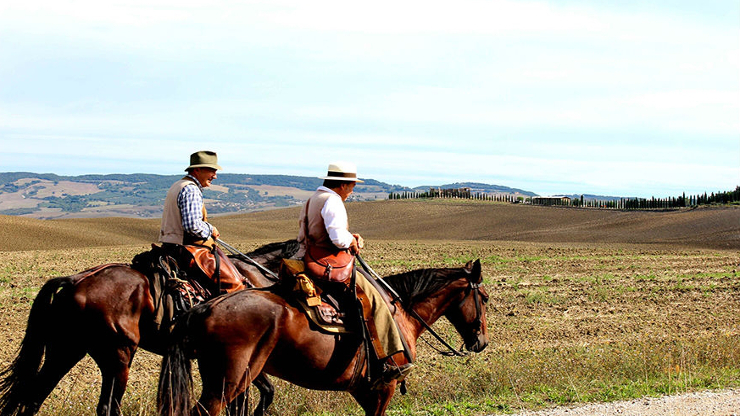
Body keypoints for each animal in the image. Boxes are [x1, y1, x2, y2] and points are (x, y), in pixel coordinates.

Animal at [0, 239, 298, 416]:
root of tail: (74, 281)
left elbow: (252, 397)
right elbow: (260, 395)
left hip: (66, 350)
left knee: (33, 396)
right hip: (118, 357)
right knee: (107, 406)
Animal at [159, 258, 488, 414]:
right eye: (484, 297)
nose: (481, 342)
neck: (402, 315)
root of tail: (206, 307)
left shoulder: (363, 390)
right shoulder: (385, 387)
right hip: (226, 384)